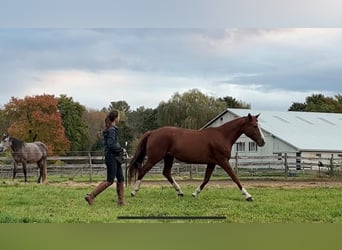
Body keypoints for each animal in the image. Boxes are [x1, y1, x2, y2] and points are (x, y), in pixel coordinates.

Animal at [129, 113, 268, 201]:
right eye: (255, 126)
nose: (263, 142)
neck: (223, 136)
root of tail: (152, 132)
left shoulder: (212, 163)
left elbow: (206, 179)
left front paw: (195, 193)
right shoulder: (223, 161)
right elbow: (235, 178)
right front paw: (248, 196)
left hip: (168, 158)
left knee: (166, 173)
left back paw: (180, 192)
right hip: (155, 157)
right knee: (142, 171)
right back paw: (133, 192)